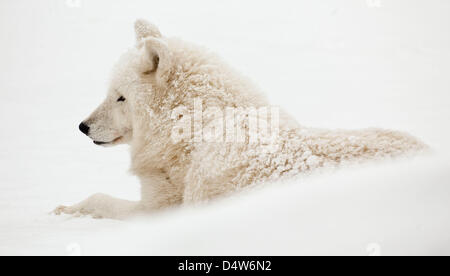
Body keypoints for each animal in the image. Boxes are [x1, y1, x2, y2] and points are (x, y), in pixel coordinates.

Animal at [53, 19, 426, 219]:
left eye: (121, 97)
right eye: (111, 93)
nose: (82, 127)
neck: (195, 132)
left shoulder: (161, 212)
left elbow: (98, 198)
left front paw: (65, 209)